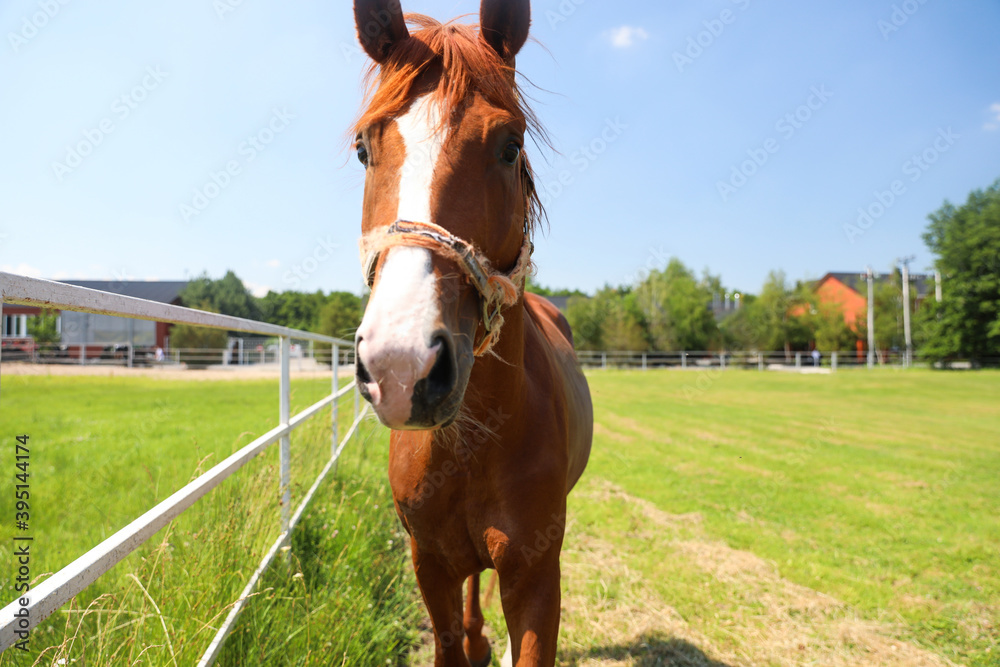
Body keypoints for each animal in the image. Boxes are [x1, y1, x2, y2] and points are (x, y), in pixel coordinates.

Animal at [350, 1, 593, 665]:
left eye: (510, 147)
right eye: (363, 149)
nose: (402, 365)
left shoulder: (535, 576)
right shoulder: (428, 563)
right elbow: (448, 633)